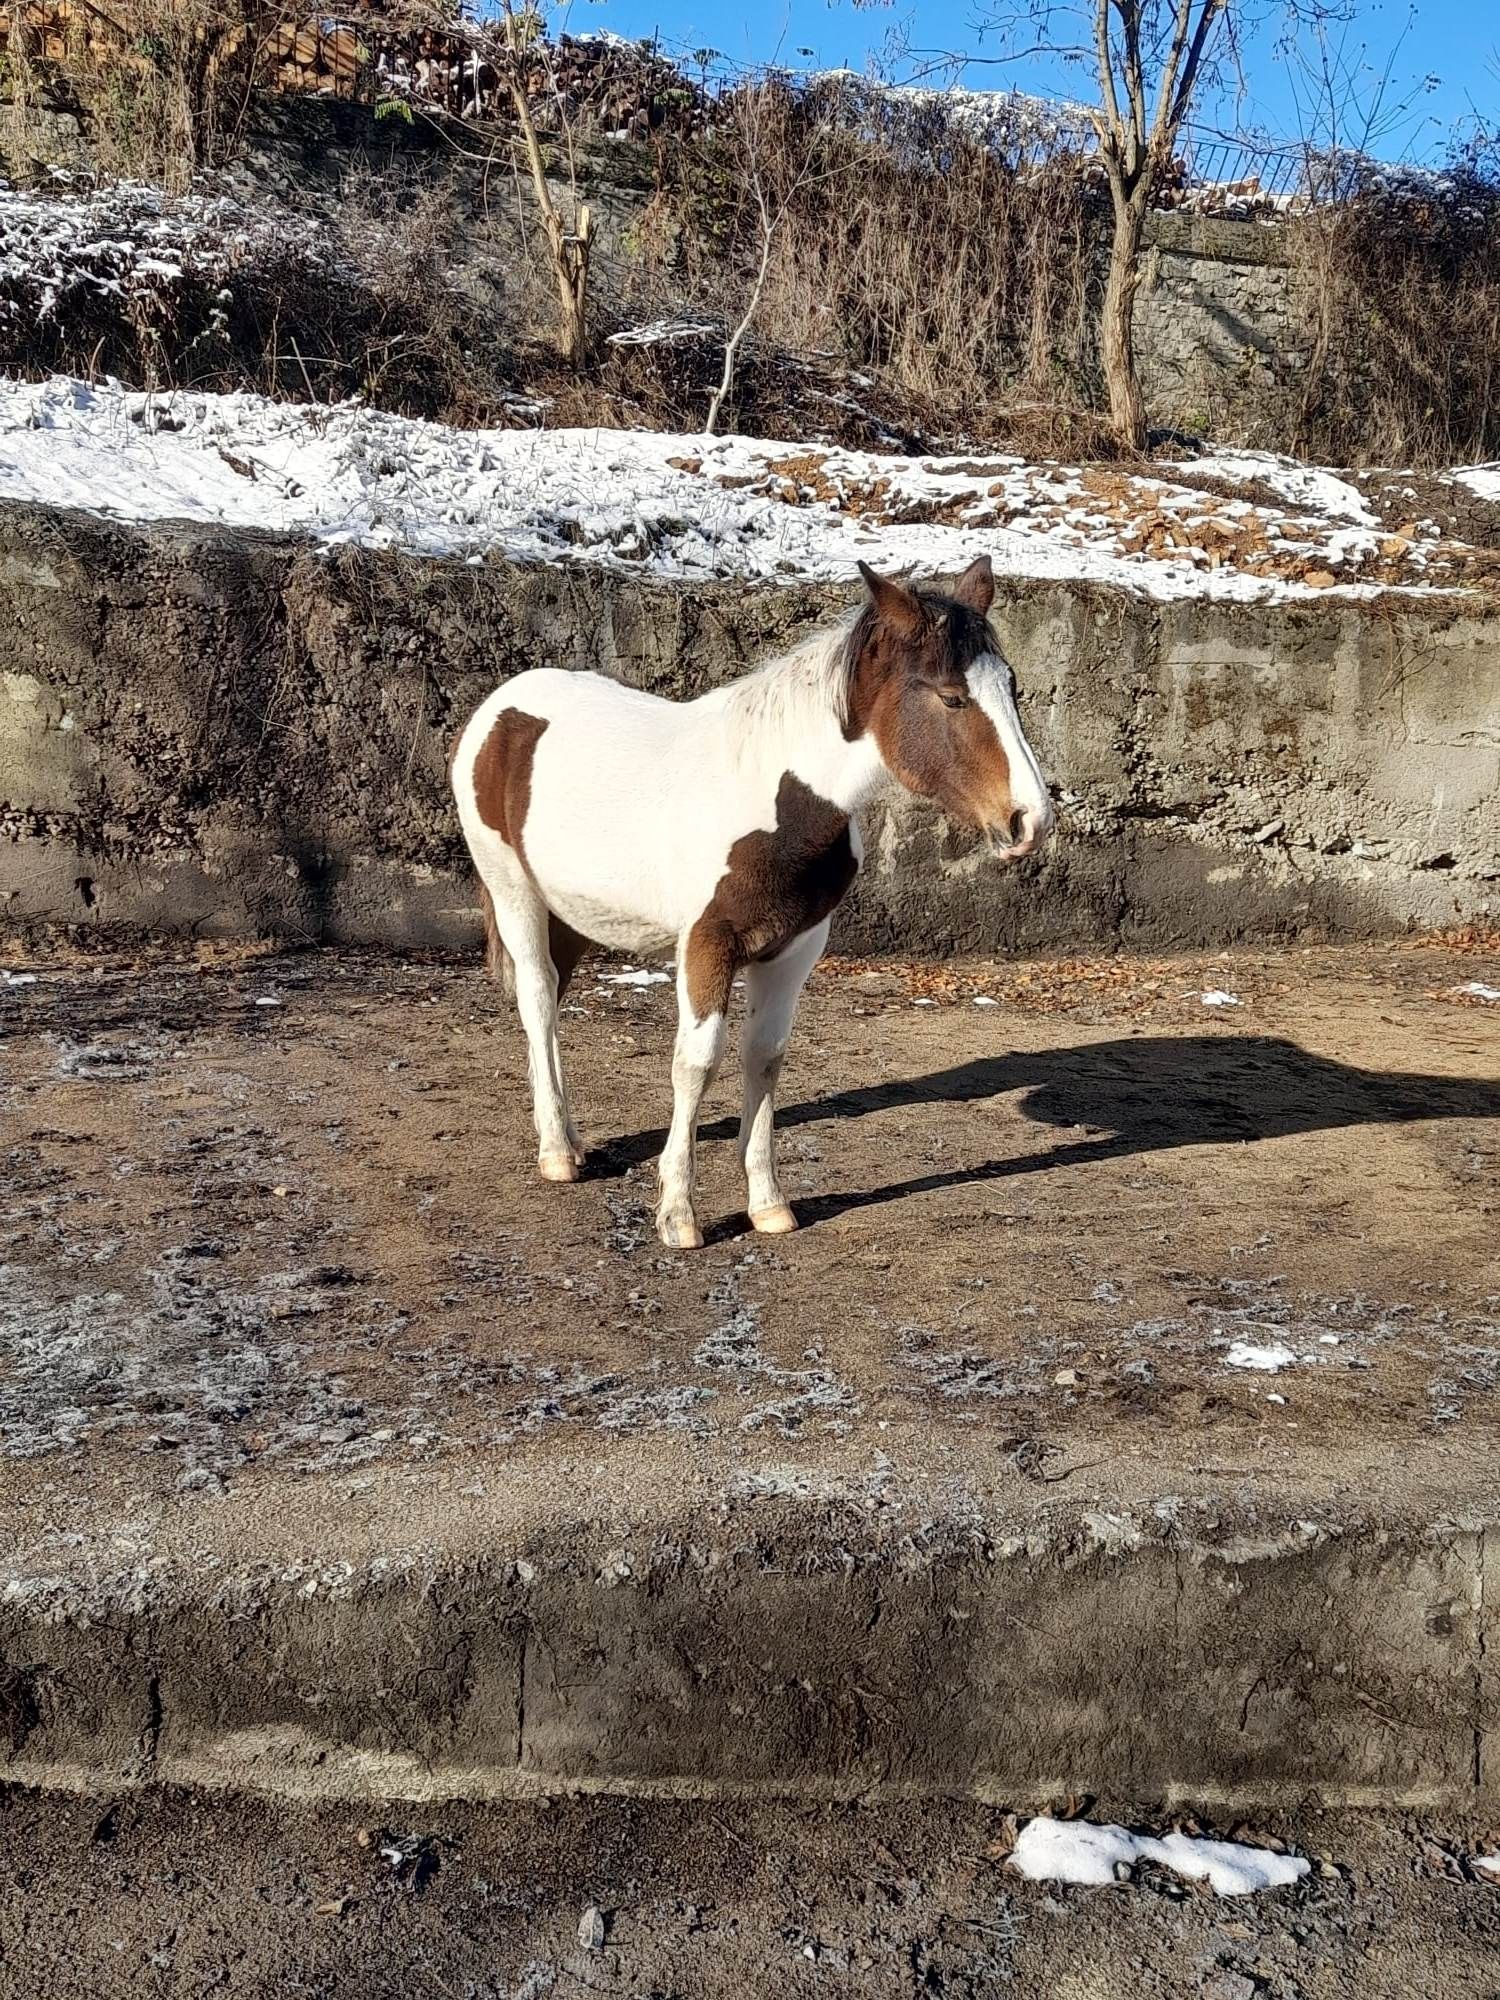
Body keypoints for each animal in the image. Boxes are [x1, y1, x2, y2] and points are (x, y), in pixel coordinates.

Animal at [452, 560, 1048, 1248]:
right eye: (952, 696)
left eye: (1012, 688)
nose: (1031, 821)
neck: (778, 800)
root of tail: (497, 709)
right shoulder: (706, 945)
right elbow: (696, 1064)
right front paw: (679, 1214)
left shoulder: (793, 951)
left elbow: (765, 1059)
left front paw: (767, 1204)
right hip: (513, 892)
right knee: (538, 999)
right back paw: (555, 1154)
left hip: (571, 914)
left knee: (552, 1002)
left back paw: (573, 1143)